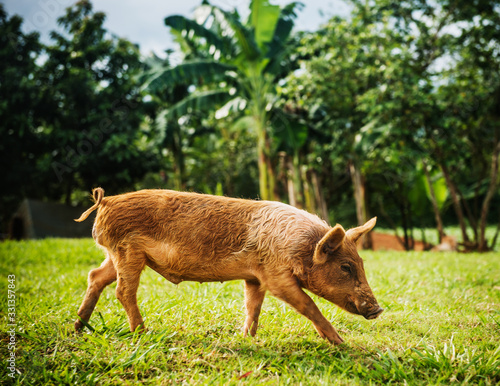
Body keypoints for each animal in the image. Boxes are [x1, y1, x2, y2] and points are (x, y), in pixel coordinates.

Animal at [74, 187, 382, 344]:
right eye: (346, 267)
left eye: (361, 263)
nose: (377, 309)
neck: (299, 248)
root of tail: (106, 200)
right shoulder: (275, 276)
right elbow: (308, 305)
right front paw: (342, 344)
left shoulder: (255, 277)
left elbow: (253, 306)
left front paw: (246, 338)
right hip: (128, 252)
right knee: (123, 291)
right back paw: (142, 333)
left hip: (115, 254)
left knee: (95, 276)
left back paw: (78, 327)